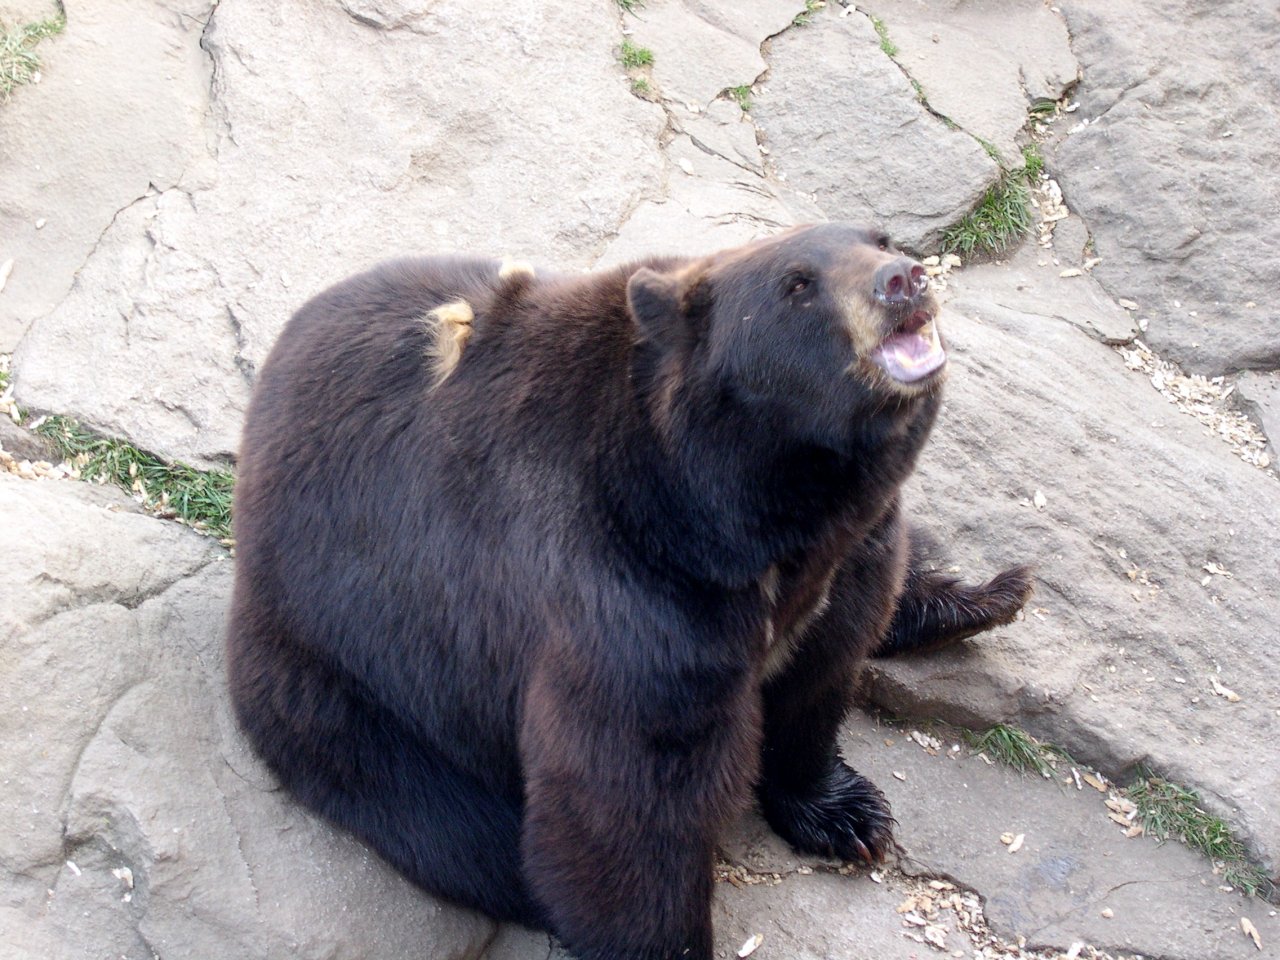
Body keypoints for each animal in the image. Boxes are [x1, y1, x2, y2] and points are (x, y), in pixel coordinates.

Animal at [227, 223, 1031, 960]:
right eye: (797, 283)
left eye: (879, 239)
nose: (904, 280)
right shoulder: (630, 604)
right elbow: (626, 806)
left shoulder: (846, 556)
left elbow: (821, 672)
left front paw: (847, 815)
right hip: (353, 684)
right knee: (454, 824)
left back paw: (987, 595)